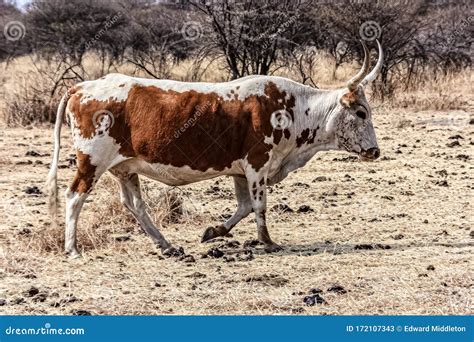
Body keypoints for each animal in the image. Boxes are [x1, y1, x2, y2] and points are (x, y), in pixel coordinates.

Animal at [46, 40, 384, 258]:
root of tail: (83, 86)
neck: (293, 108)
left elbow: (244, 206)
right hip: (92, 161)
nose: (375, 151)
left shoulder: (240, 171)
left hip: (125, 168)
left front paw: (214, 232)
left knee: (135, 205)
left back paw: (166, 245)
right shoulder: (257, 163)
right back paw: (72, 249)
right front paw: (267, 241)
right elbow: (259, 206)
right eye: (361, 113)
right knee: (74, 196)